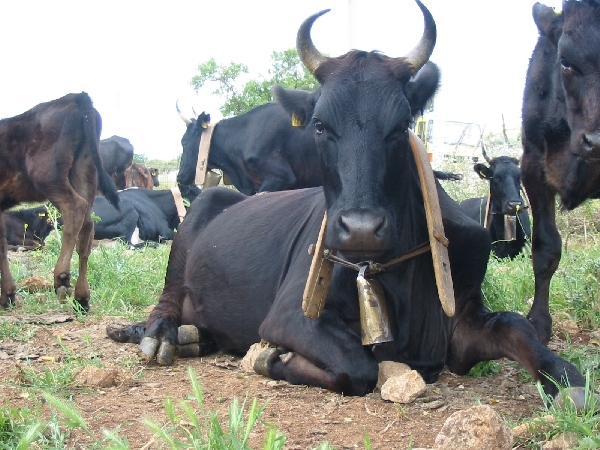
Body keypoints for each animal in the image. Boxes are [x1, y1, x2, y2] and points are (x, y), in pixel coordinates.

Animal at [0, 93, 119, 312]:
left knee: (75, 208)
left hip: (49, 176)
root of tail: (76, 97)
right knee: (87, 227)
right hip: (85, 172)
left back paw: (62, 278)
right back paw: (82, 296)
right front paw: (8, 295)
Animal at [110, 0, 588, 404]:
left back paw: (195, 337)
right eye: (320, 125)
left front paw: (565, 377)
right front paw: (274, 358)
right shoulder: (289, 314)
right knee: (167, 300)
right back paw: (165, 334)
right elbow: (358, 366)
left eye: (402, 125)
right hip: (195, 224)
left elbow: (515, 325)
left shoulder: (462, 318)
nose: (360, 228)